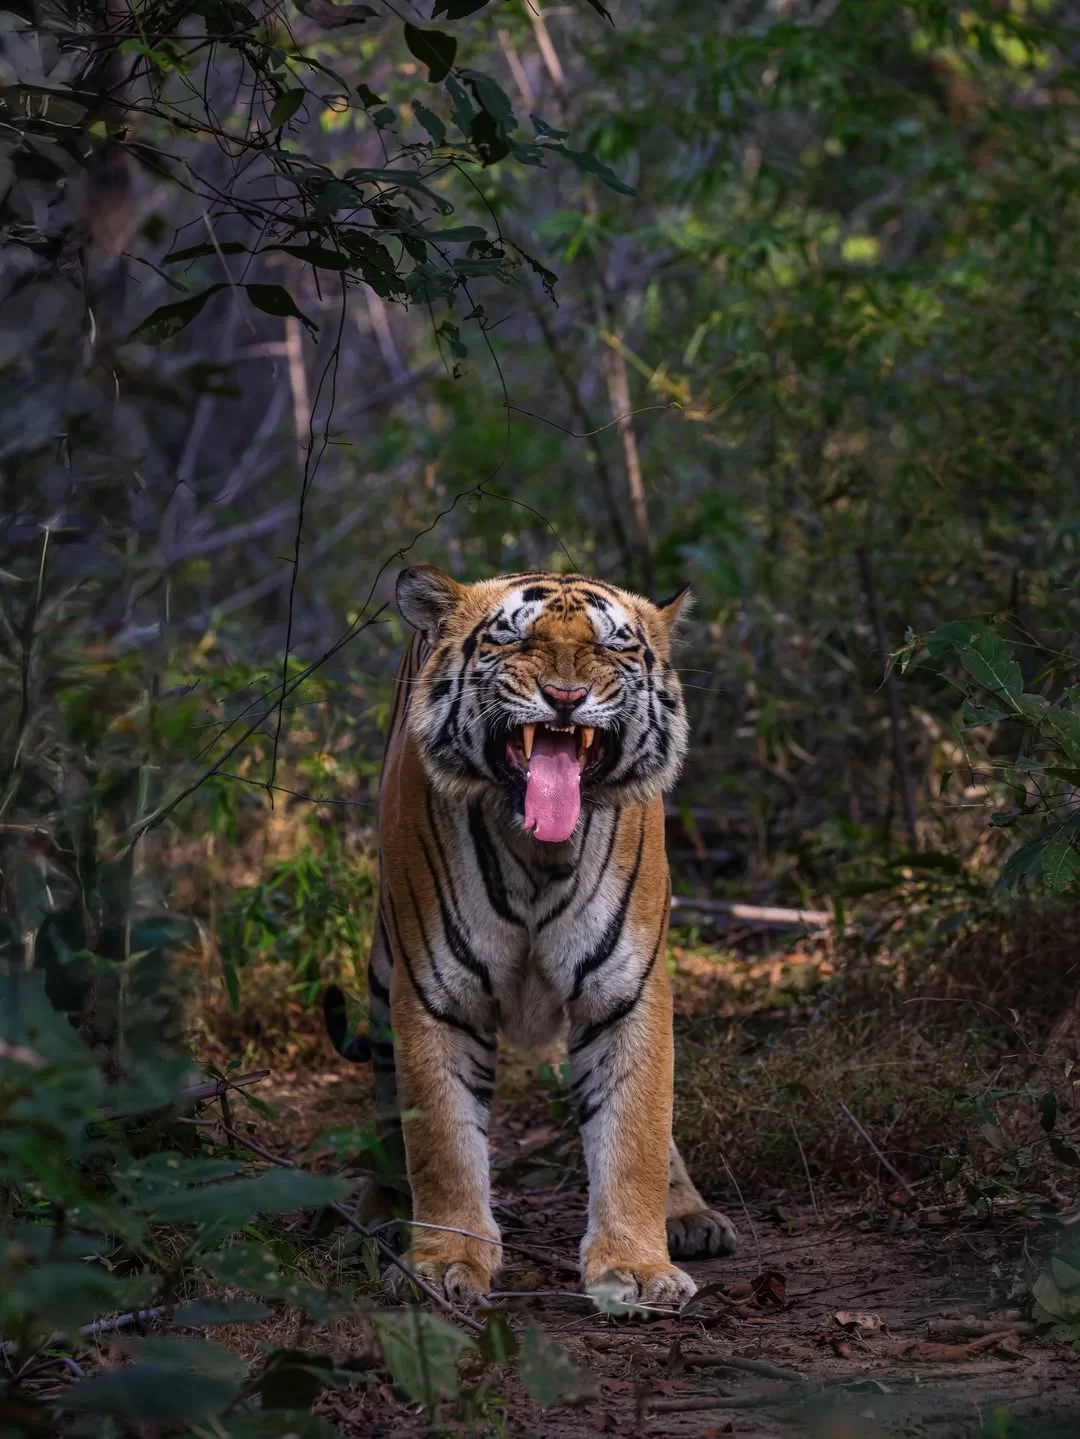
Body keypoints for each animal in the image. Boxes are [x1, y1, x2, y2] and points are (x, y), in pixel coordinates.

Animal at [324, 565, 737, 1307]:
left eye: (612, 648)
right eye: (514, 640)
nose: (565, 697)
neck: (539, 852)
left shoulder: (626, 990)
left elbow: (637, 1127)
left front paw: (637, 1267)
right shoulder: (436, 995)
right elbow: (443, 1142)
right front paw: (445, 1261)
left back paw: (689, 1213)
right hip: (381, 969)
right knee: (386, 1100)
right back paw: (381, 1215)